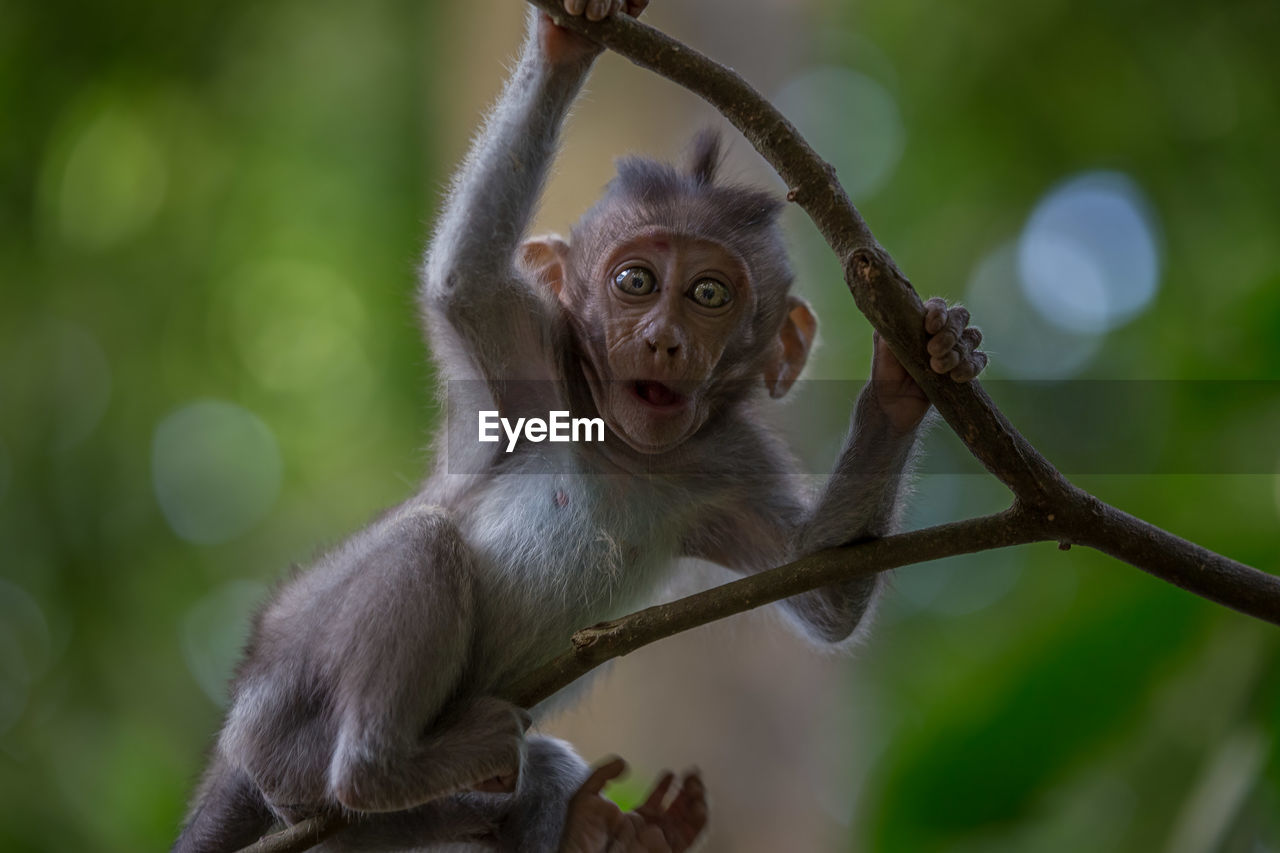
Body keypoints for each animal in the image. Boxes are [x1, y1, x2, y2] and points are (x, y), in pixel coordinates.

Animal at [172, 1, 988, 850]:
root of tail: (236, 745)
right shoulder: (538, 364)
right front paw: (566, 45)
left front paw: (913, 370)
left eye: (708, 294)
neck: (629, 446)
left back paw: (606, 827)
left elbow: (826, 589)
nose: (662, 339)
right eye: (636, 282)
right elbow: (465, 280)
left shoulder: (734, 460)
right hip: (283, 705)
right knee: (424, 544)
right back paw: (381, 767)